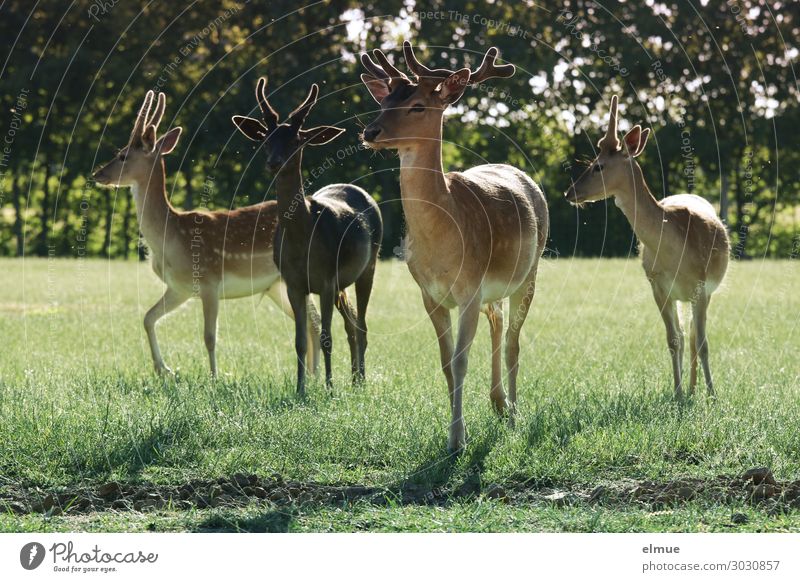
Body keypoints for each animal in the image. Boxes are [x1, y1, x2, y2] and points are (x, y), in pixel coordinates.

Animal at [91, 89, 322, 376]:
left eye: (123, 155)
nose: (97, 174)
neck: (170, 239)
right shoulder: (179, 287)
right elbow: (147, 317)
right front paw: (164, 369)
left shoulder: (210, 281)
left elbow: (210, 337)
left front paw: (214, 377)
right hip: (275, 285)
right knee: (312, 322)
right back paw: (312, 374)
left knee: (315, 321)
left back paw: (315, 375)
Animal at [231, 76, 382, 396]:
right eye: (267, 139)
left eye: (296, 140)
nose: (274, 162)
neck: (302, 240)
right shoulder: (293, 282)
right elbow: (300, 341)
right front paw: (301, 389)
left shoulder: (325, 280)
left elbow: (325, 337)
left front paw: (328, 388)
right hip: (340, 284)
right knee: (352, 323)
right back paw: (354, 378)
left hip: (369, 266)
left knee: (361, 324)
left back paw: (360, 382)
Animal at [362, 42, 552, 456]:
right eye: (384, 101)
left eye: (417, 105)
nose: (370, 131)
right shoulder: (429, 294)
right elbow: (446, 362)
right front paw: (454, 432)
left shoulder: (469, 288)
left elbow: (462, 360)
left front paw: (457, 439)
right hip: (491, 290)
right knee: (497, 320)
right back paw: (498, 403)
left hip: (530, 272)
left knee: (513, 341)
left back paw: (514, 413)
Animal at [564, 96, 732, 400]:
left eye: (598, 166)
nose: (569, 192)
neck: (676, 254)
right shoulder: (657, 285)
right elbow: (673, 339)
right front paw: (677, 393)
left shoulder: (702, 286)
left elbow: (702, 342)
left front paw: (713, 395)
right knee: (685, 334)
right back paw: (689, 388)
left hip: (705, 292)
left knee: (695, 336)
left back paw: (698, 388)